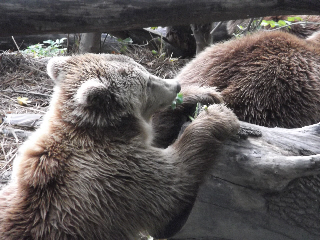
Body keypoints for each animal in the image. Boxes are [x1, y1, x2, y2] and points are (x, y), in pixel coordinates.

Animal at [0, 53, 239, 239]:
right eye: (147, 82)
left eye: (146, 70)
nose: (175, 85)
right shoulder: (117, 177)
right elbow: (175, 183)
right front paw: (217, 116)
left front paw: (205, 93)